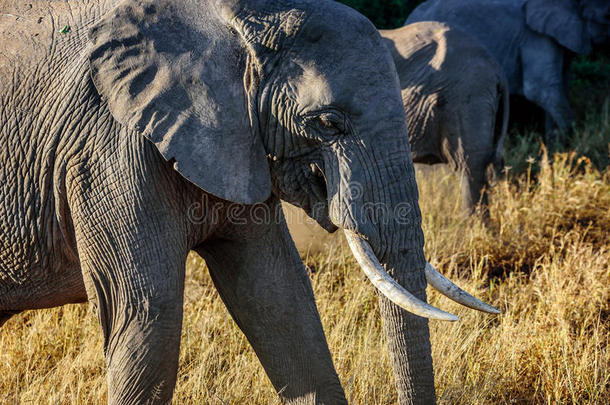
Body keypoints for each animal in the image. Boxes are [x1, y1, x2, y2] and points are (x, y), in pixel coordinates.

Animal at [404, 0, 608, 142]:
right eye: (605, 19)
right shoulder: (534, 37)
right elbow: (539, 90)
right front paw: (574, 144)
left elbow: (559, 84)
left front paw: (554, 145)